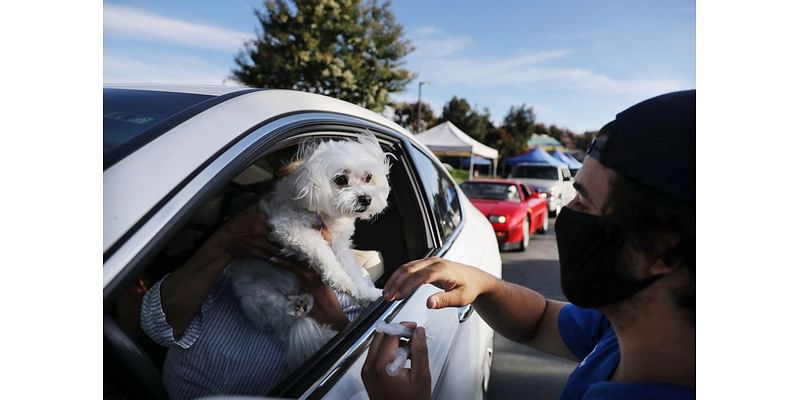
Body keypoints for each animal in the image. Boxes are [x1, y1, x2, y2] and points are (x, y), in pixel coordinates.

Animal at [227, 134, 392, 368]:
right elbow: (324, 255)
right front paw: (343, 281)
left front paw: (366, 293)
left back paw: (303, 304)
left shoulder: (340, 246)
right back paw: (296, 307)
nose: (366, 199)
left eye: (368, 177)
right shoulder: (291, 229)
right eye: (341, 180)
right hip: (255, 295)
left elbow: (352, 270)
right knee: (277, 313)